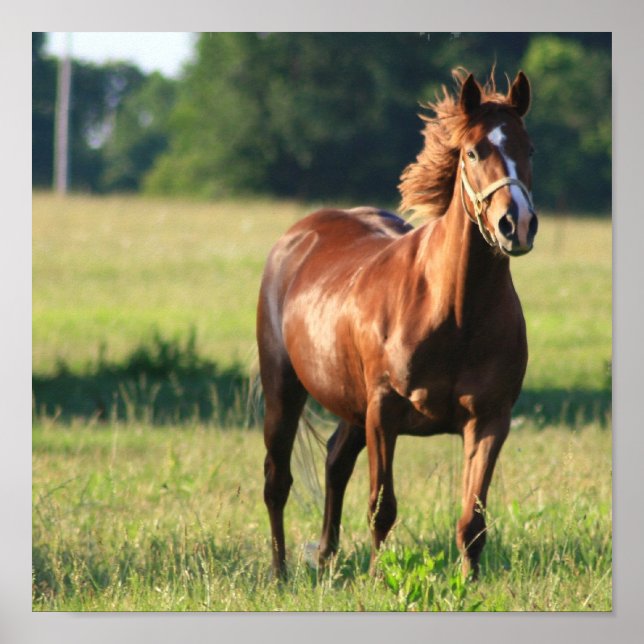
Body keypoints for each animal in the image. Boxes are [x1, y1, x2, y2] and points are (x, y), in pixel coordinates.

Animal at [256, 70, 538, 580]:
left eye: (530, 149)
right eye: (473, 152)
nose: (517, 224)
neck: (455, 313)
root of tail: (297, 236)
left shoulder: (490, 420)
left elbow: (473, 520)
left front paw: (470, 584)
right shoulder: (384, 410)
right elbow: (381, 507)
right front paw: (376, 579)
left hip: (352, 405)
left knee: (334, 461)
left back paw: (326, 558)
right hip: (284, 390)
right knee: (277, 480)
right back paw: (281, 572)